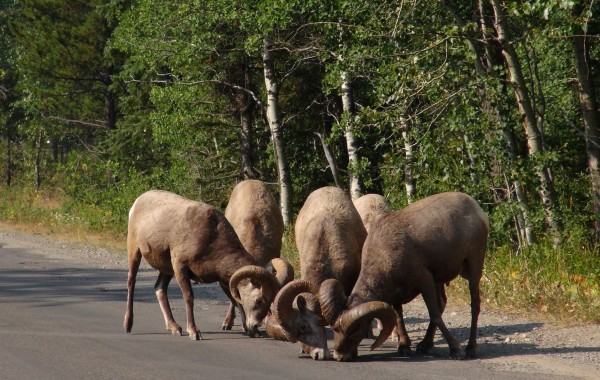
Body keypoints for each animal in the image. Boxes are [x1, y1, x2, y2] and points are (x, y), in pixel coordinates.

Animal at [123, 190, 282, 338]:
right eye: (258, 300)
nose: (255, 325)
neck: (211, 239)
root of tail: (138, 201)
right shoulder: (180, 267)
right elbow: (189, 298)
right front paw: (194, 332)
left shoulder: (222, 279)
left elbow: (235, 300)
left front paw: (249, 331)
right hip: (135, 251)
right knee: (131, 281)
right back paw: (128, 325)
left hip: (167, 269)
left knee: (159, 288)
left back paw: (175, 328)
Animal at [318, 191, 488, 360]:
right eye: (335, 328)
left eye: (355, 329)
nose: (339, 355)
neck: (384, 253)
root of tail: (475, 208)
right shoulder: (396, 293)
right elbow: (399, 316)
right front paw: (404, 347)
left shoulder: (425, 280)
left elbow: (434, 314)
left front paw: (456, 350)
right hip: (440, 280)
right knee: (443, 303)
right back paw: (425, 345)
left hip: (473, 268)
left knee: (474, 306)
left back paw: (470, 349)